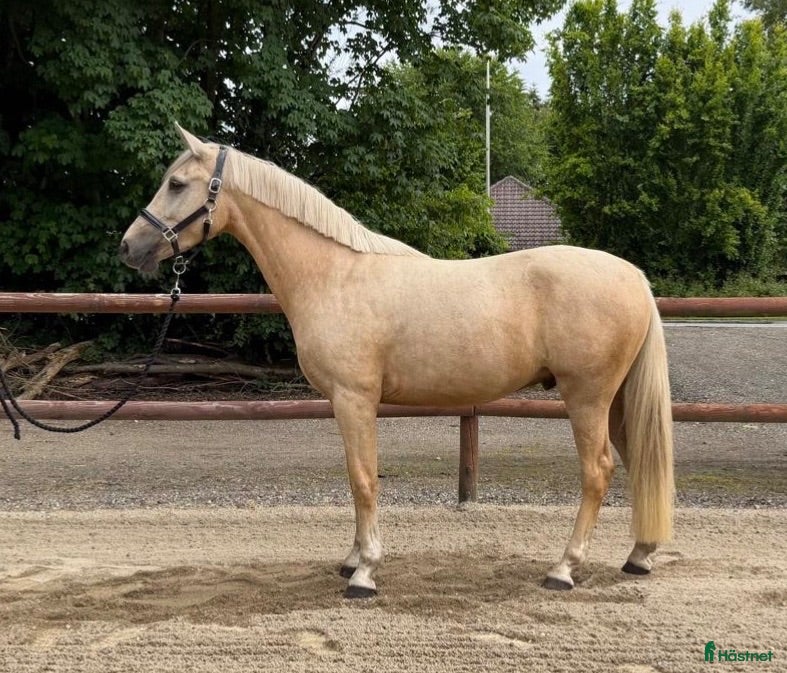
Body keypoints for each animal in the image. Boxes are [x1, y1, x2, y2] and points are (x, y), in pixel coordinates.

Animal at [120, 125, 674, 598]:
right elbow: (355, 478)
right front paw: (351, 559)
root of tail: (632, 276)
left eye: (176, 183)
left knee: (598, 471)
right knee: (635, 462)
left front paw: (364, 572)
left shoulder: (354, 400)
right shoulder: (345, 404)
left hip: (587, 398)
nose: (128, 247)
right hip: (616, 402)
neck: (334, 275)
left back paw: (564, 568)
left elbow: (363, 479)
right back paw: (639, 556)